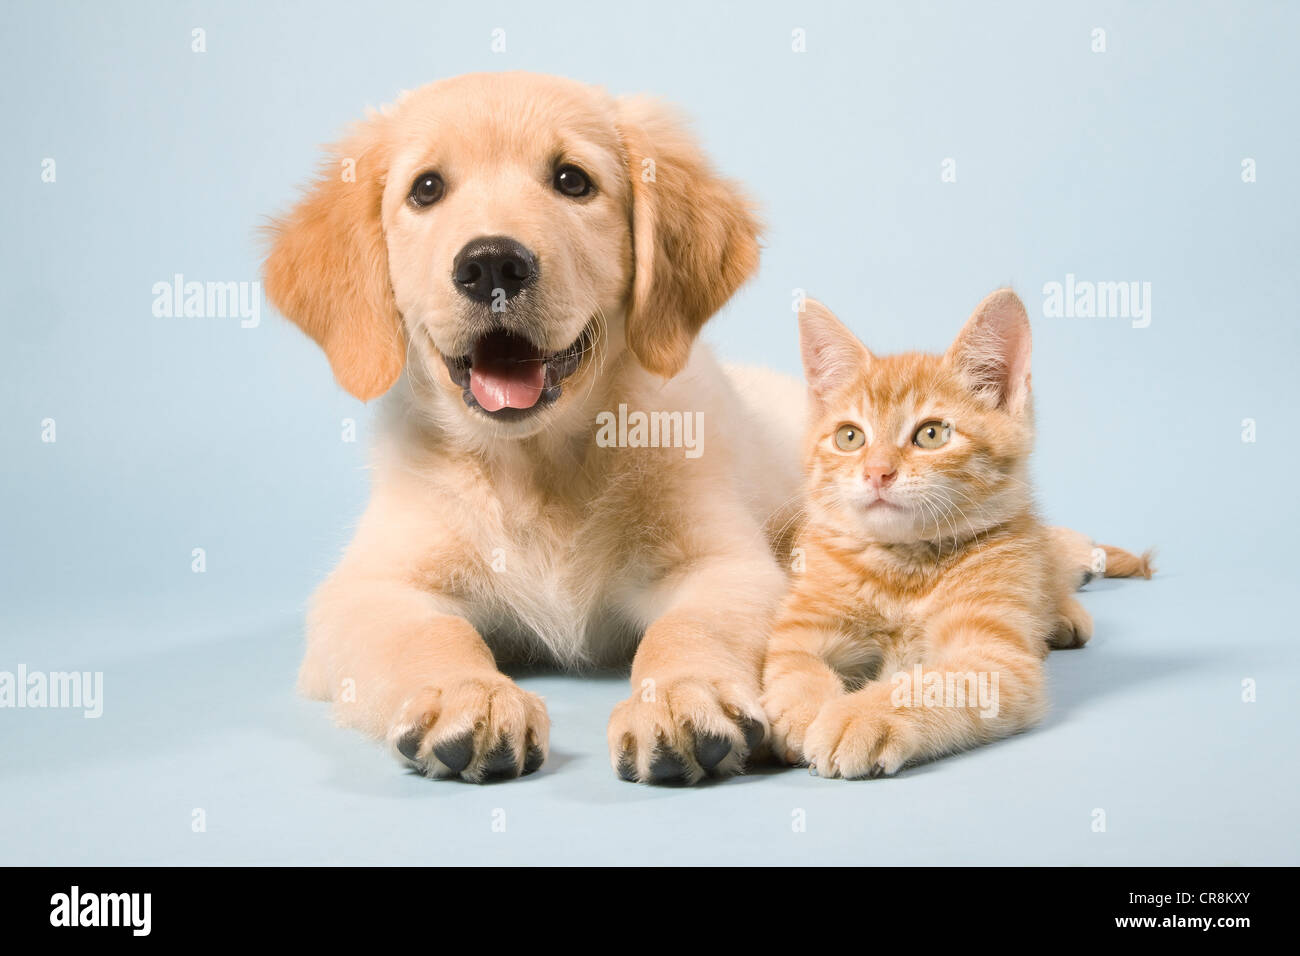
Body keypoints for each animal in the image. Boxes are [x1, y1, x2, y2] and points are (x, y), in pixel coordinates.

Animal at [262, 72, 800, 785]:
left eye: (572, 180)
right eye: (426, 188)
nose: (492, 263)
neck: (532, 466)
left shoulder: (725, 563)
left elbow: (690, 627)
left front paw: (682, 693)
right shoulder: (367, 589)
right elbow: (430, 632)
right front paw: (467, 694)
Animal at [759, 290, 1149, 780]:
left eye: (931, 434)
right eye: (849, 437)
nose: (877, 472)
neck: (904, 566)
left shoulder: (994, 657)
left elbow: (928, 682)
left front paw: (858, 716)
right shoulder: (802, 625)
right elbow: (793, 665)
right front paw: (805, 711)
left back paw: (1061, 613)